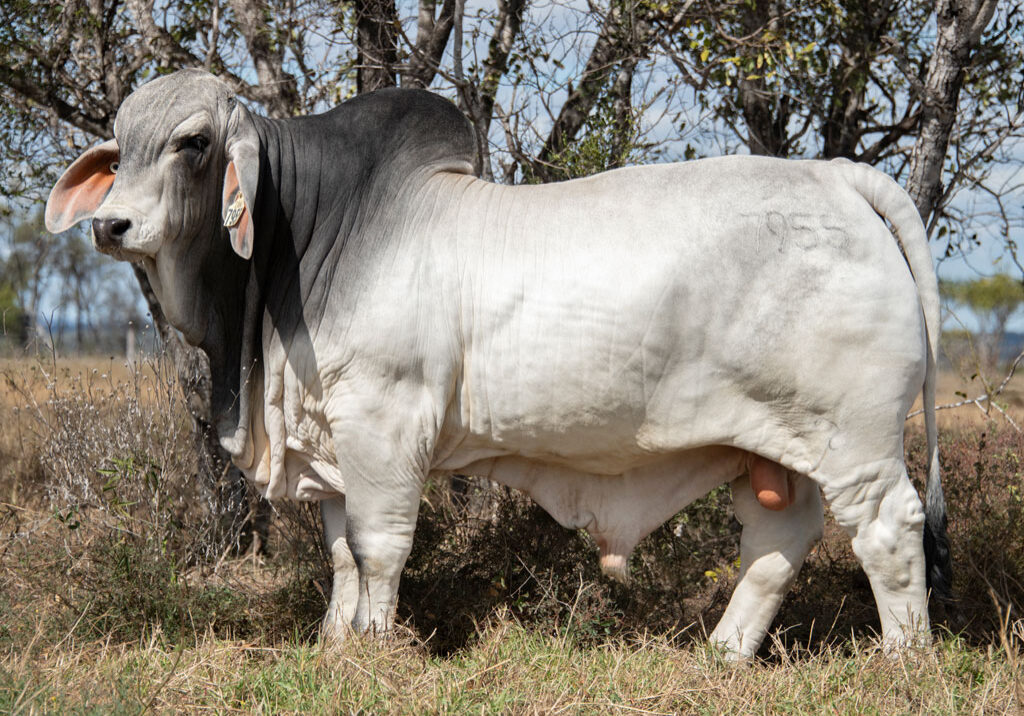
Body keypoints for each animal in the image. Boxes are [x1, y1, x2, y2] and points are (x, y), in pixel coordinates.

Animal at [46, 69, 948, 659]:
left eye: (193, 143)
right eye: (118, 150)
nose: (112, 225)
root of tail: (839, 178)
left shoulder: (384, 423)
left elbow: (379, 546)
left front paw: (378, 647)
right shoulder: (328, 438)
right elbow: (340, 552)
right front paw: (336, 645)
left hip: (858, 441)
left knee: (889, 530)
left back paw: (904, 662)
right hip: (772, 445)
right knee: (779, 539)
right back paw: (723, 654)